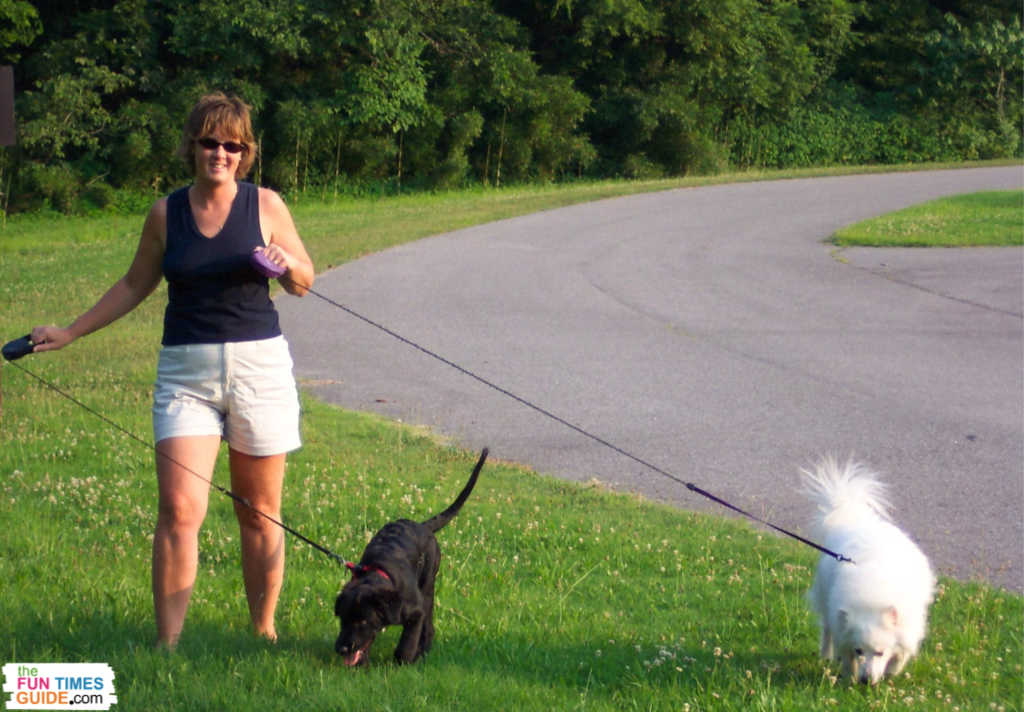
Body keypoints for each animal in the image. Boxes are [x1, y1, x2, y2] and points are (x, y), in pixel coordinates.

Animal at [331, 448, 483, 663]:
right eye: (342, 619)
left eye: (363, 621)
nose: (342, 649)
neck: (379, 573)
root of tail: (423, 526)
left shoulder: (415, 612)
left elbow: (407, 642)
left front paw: (404, 661)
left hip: (428, 586)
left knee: (429, 627)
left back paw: (423, 652)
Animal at [798, 456, 937, 684]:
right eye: (859, 651)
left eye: (880, 652)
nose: (866, 680)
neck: (872, 598)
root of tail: (856, 519)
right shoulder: (844, 634)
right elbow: (847, 657)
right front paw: (851, 676)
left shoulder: (909, 627)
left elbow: (901, 655)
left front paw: (891, 672)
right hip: (826, 603)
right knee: (827, 630)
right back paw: (826, 655)